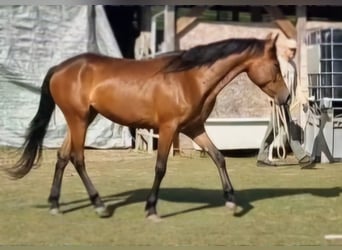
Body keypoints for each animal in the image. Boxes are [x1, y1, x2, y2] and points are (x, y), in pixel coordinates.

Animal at [7, 32, 288, 219]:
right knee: (77, 159)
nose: (285, 97)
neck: (189, 78)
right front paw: (151, 208)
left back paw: (55, 204)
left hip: (81, 119)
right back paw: (99, 205)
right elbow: (160, 167)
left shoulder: (194, 128)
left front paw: (231, 201)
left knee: (63, 157)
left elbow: (218, 157)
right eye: (276, 64)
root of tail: (59, 68)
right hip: (78, 120)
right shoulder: (168, 128)